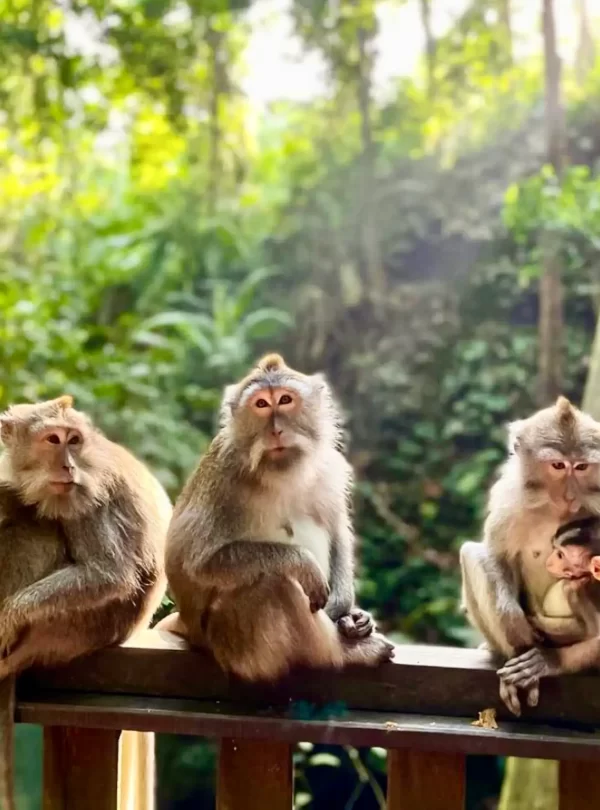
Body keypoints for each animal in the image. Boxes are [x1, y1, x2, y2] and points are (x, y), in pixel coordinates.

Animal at [0, 395, 172, 810]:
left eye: (73, 440)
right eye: (53, 439)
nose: (68, 466)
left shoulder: (87, 496)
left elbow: (109, 573)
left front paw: (8, 616)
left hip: (70, 631)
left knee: (33, 522)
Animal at [158, 353, 394, 682]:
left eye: (284, 400)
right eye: (260, 404)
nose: (276, 430)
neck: (280, 472)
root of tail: (192, 631)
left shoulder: (329, 469)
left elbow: (337, 533)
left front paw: (347, 610)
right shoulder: (223, 479)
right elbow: (199, 563)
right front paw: (303, 563)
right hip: (234, 644)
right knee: (276, 584)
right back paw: (344, 653)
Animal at [460, 396, 600, 715]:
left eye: (582, 467)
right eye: (558, 465)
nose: (570, 496)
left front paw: (549, 662)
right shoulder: (509, 498)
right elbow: (496, 555)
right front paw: (515, 628)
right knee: (471, 554)